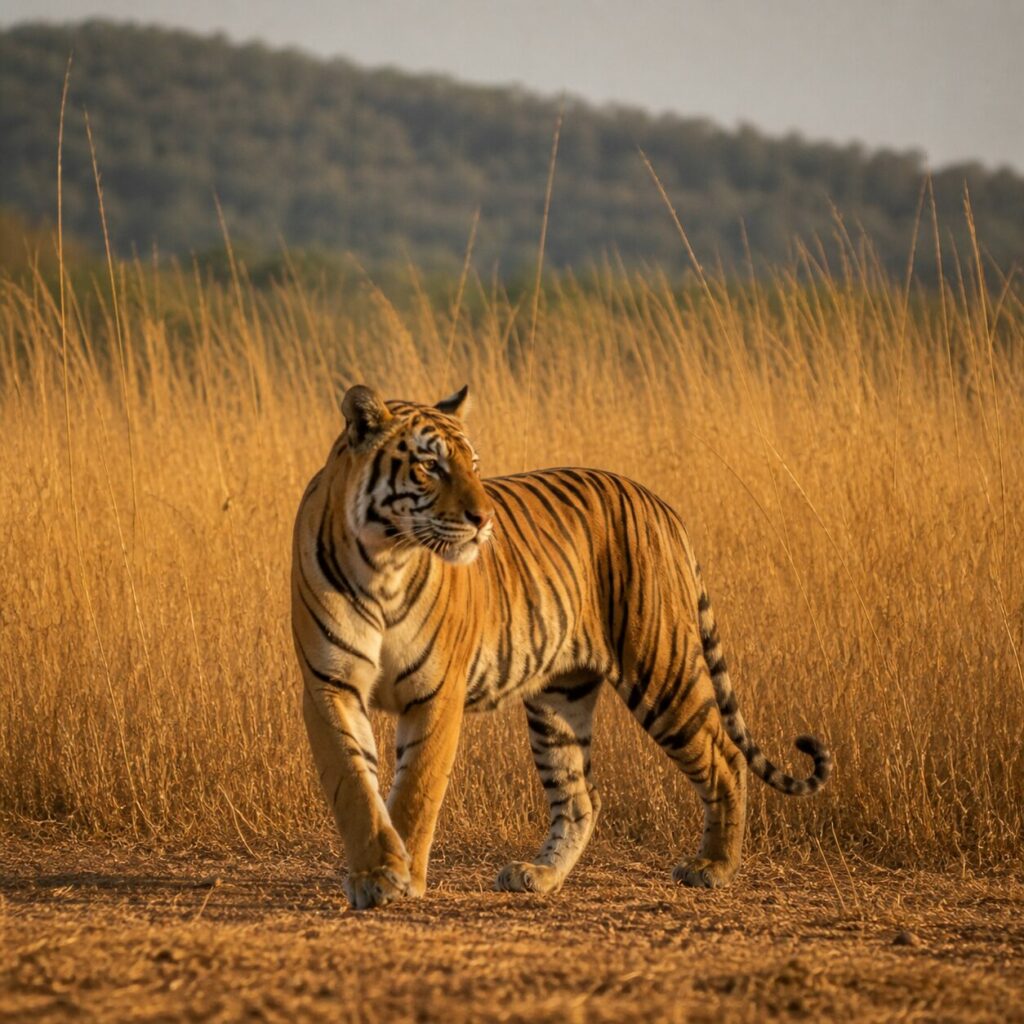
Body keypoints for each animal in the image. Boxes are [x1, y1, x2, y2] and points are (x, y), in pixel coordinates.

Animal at [291, 384, 832, 909]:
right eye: (430, 466)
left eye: (474, 465)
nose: (484, 519)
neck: (384, 560)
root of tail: (660, 504)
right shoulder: (330, 685)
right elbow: (353, 786)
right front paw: (375, 874)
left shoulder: (436, 692)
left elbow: (416, 790)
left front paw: (402, 877)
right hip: (560, 699)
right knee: (581, 795)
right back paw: (542, 875)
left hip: (662, 669)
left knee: (725, 756)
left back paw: (713, 867)